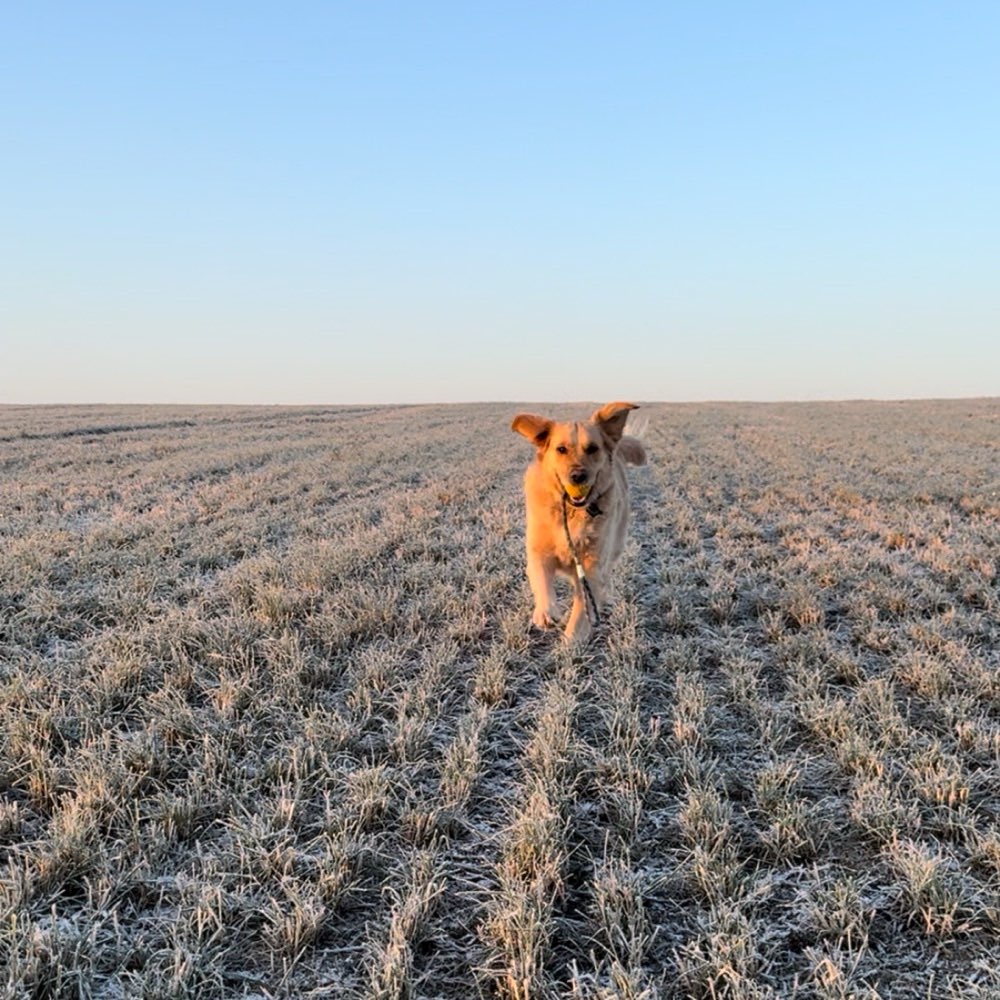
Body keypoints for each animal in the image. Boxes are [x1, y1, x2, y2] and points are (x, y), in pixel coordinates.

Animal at [512, 402, 644, 644]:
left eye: (592, 448)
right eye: (561, 449)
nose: (577, 476)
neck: (572, 511)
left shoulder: (592, 565)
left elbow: (583, 607)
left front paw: (571, 640)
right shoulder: (539, 552)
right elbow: (542, 581)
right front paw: (546, 613)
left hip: (616, 542)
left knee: (607, 573)